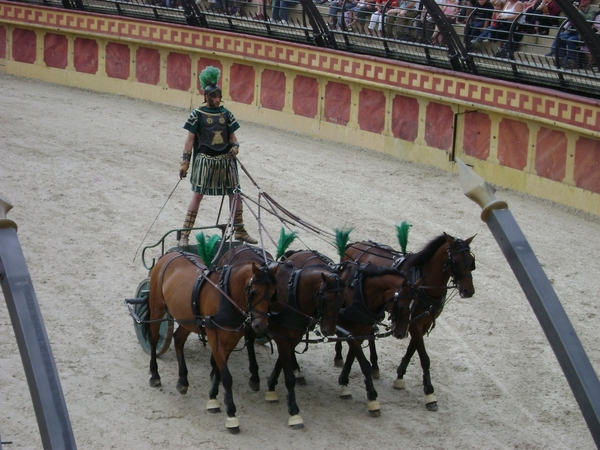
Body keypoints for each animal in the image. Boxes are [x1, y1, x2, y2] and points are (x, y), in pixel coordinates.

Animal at [146, 250, 278, 432]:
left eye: (272, 293)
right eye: (254, 292)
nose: (261, 325)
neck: (226, 297)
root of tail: (172, 253)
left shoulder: (230, 341)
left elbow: (218, 371)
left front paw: (213, 399)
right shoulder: (216, 341)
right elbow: (226, 377)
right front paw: (231, 415)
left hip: (188, 318)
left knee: (178, 339)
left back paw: (183, 380)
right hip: (157, 307)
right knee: (153, 338)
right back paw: (155, 375)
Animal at [342, 234, 478, 410]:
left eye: (471, 261)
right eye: (456, 261)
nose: (468, 291)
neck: (425, 282)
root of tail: (355, 244)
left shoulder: (422, 322)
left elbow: (413, 349)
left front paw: (400, 376)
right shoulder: (413, 323)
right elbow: (424, 357)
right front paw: (429, 393)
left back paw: (374, 366)